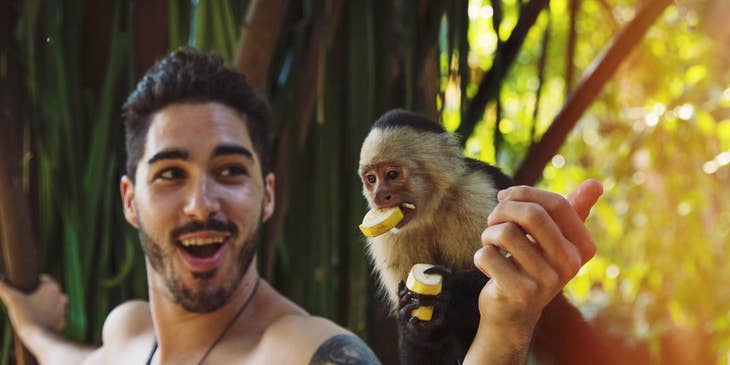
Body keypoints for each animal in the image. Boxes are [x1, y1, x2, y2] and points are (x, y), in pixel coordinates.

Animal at [356, 109, 612, 362]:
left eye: (392, 174)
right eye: (371, 179)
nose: (378, 197)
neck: (433, 209)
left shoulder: (477, 193)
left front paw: (450, 291)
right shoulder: (387, 238)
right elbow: (425, 333)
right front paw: (416, 315)